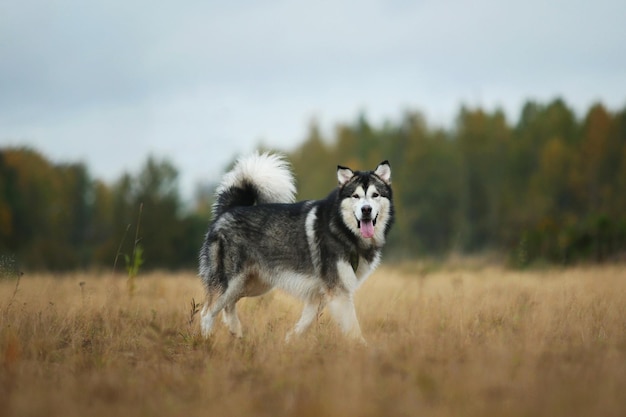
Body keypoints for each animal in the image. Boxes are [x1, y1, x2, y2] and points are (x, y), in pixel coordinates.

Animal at [197, 153, 392, 342]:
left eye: (375, 195)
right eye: (355, 196)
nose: (366, 210)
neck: (343, 229)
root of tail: (229, 209)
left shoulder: (320, 294)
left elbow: (305, 323)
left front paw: (290, 340)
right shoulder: (338, 292)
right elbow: (353, 330)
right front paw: (365, 350)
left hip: (252, 285)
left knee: (228, 306)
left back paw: (236, 333)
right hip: (230, 282)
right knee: (207, 313)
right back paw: (206, 341)